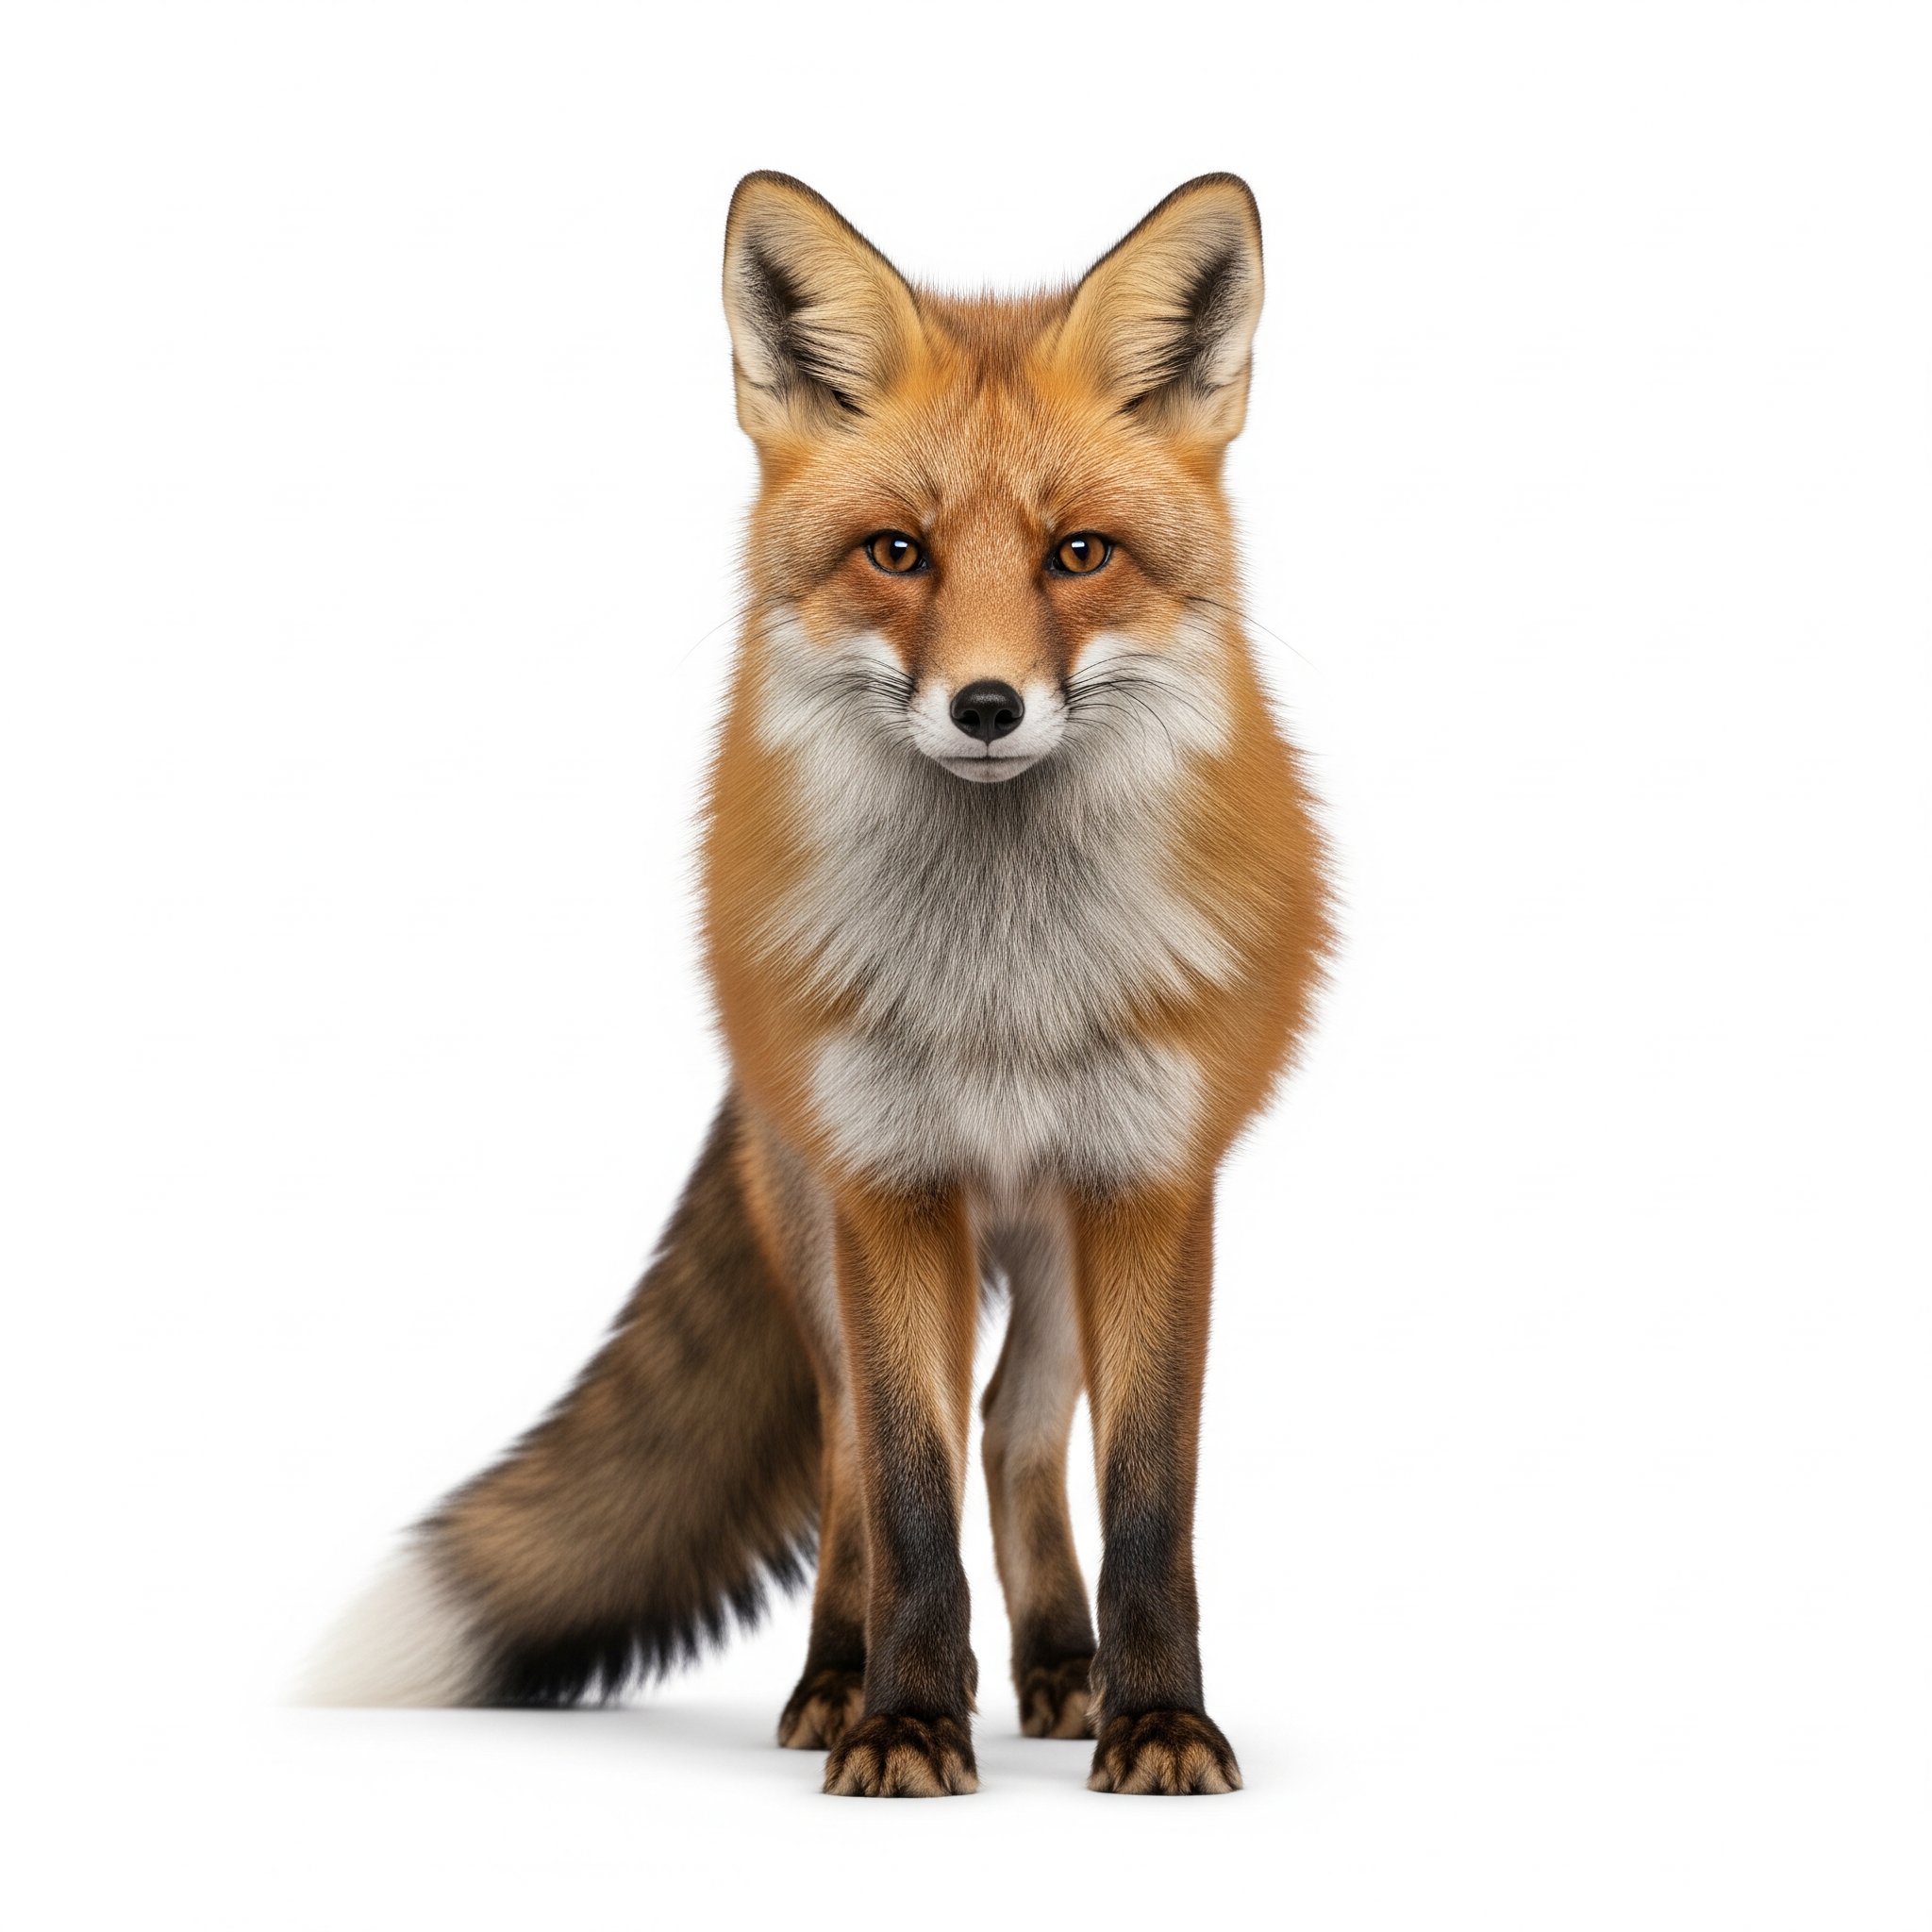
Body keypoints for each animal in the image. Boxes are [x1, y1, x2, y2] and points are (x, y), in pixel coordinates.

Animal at [303, 171, 1332, 1798]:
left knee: (1014, 1428)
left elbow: (1149, 1500)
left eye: (1080, 556)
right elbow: (905, 1494)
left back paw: (1060, 1669)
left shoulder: (1156, 1187)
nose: (988, 707)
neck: (1001, 987)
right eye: (897, 553)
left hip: (1050, 1240)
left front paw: (1159, 1721)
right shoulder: (888, 1184)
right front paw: (905, 1722)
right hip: (820, 1217)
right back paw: (841, 1683)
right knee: (865, 1451)